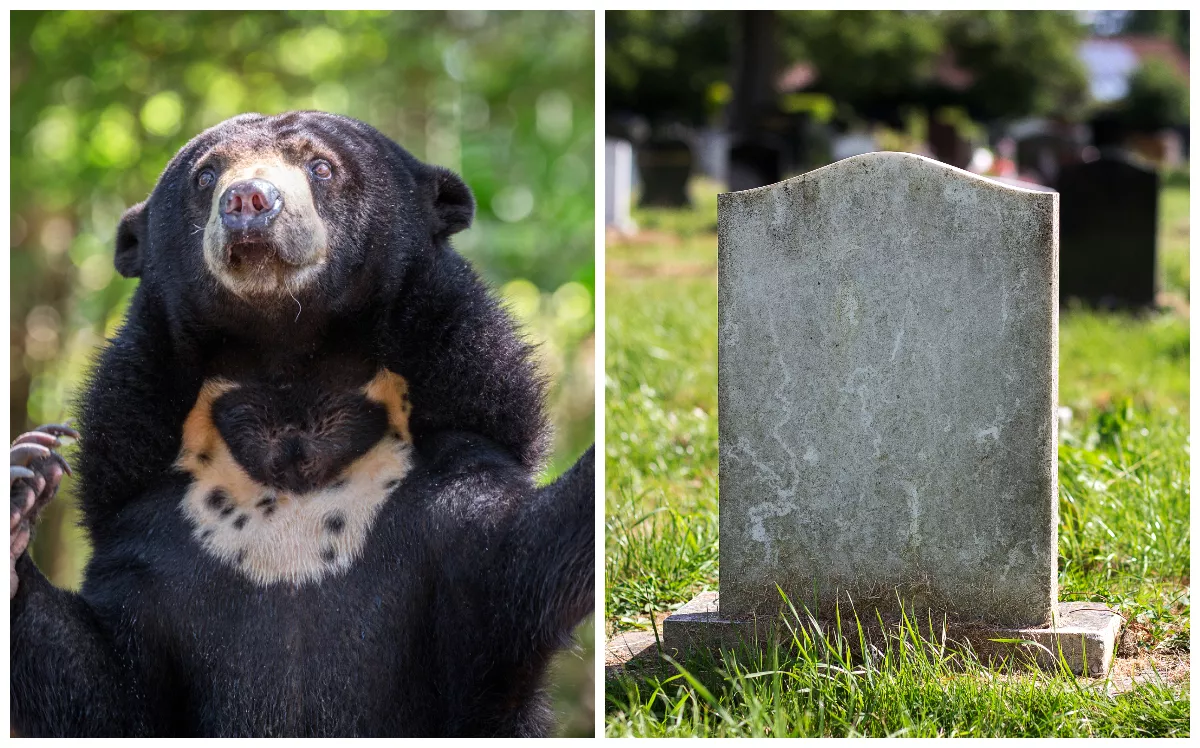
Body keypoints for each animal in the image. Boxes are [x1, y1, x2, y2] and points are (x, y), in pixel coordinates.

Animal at [9, 111, 594, 737]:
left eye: (321, 166)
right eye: (205, 176)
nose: (247, 199)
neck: (290, 388)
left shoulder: (453, 480)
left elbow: (521, 559)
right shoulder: (150, 531)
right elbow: (108, 686)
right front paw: (27, 478)